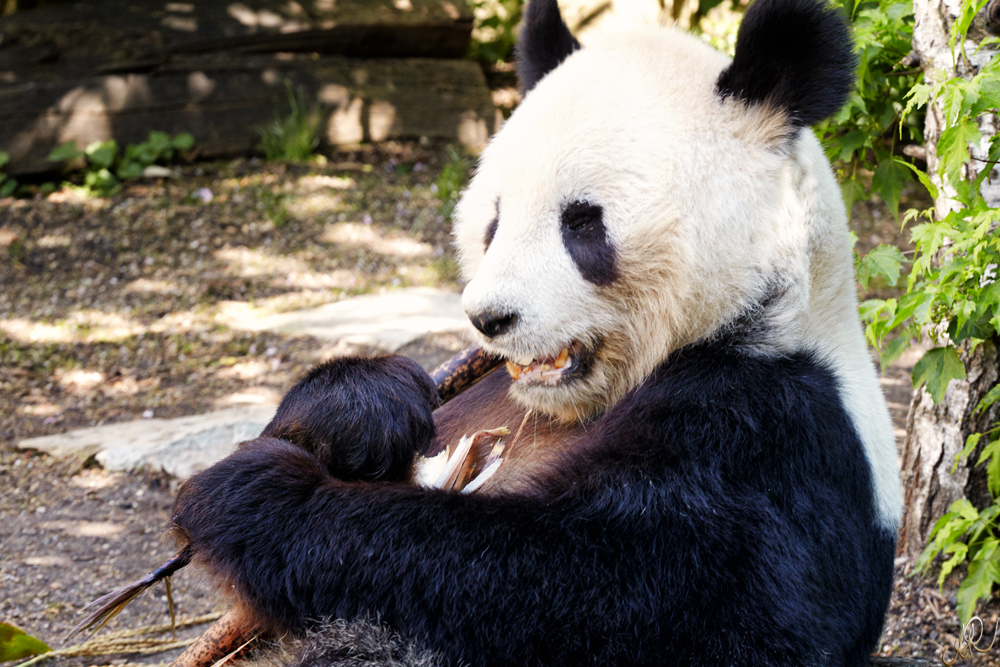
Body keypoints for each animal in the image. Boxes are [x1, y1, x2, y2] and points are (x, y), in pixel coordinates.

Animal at [168, 0, 904, 664]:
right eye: (493, 220)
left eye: (582, 223)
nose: (490, 318)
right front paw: (360, 406)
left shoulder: (771, 429)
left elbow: (596, 587)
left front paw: (251, 495)